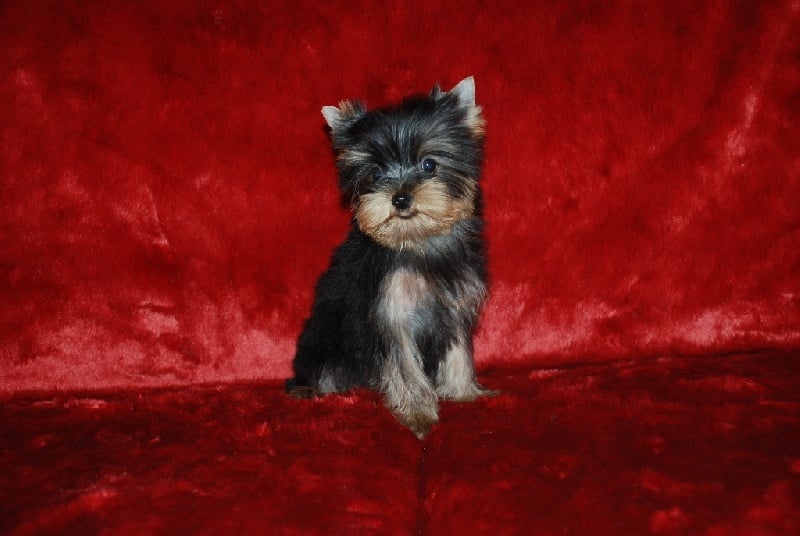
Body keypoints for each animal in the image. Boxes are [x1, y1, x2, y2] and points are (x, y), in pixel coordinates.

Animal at [287, 76, 490, 438]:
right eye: (376, 172)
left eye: (429, 164)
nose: (400, 198)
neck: (418, 242)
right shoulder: (389, 317)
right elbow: (405, 367)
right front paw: (419, 417)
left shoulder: (454, 305)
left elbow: (457, 351)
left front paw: (464, 392)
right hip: (324, 345)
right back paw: (309, 389)